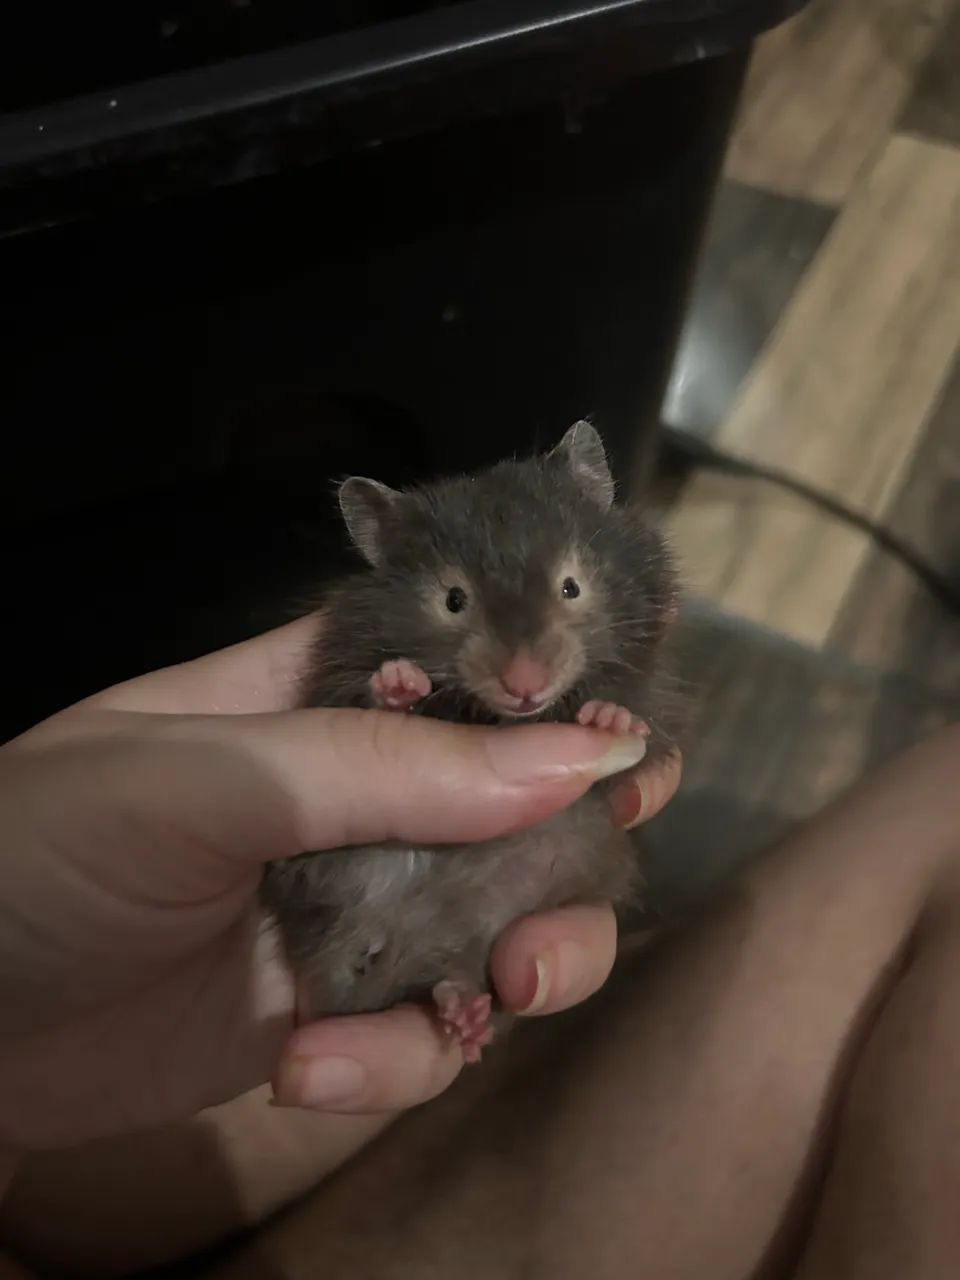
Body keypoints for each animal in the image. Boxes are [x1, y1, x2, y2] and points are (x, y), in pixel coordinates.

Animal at [261, 422, 682, 1060]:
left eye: (571, 586)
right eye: (453, 601)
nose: (525, 685)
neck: (502, 721)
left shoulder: (649, 701)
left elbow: (634, 740)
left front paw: (608, 718)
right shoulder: (334, 674)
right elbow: (363, 694)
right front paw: (401, 681)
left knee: (446, 977)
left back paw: (465, 1016)